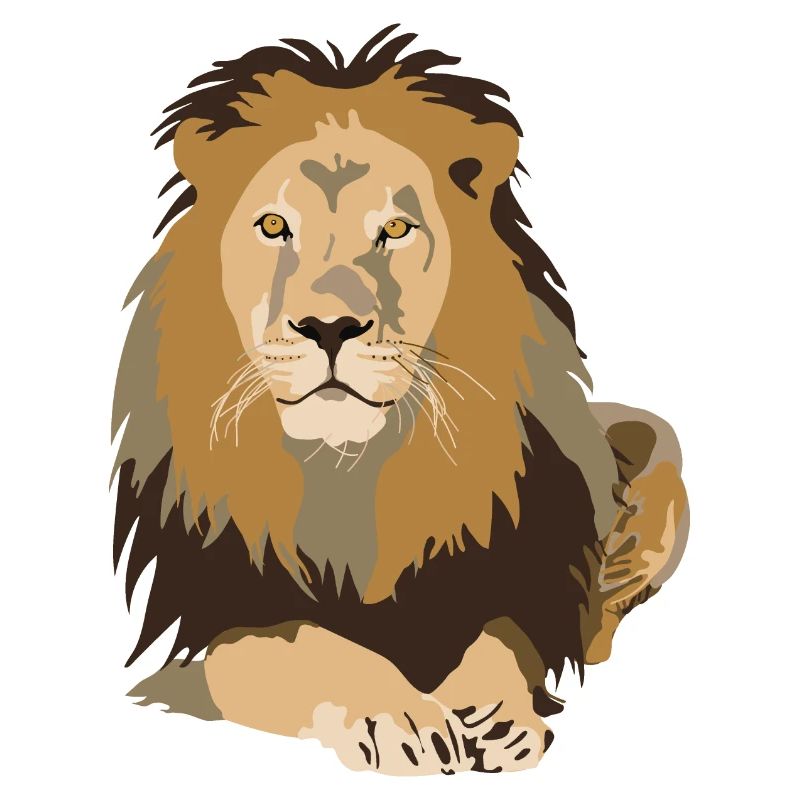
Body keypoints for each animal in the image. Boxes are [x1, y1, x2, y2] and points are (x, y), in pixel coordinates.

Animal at [113, 25, 690, 775]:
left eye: (395, 229)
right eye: (273, 227)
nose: (330, 327)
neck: (346, 468)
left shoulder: (513, 579)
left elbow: (504, 637)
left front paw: (498, 711)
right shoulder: (216, 623)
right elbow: (300, 644)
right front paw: (397, 719)